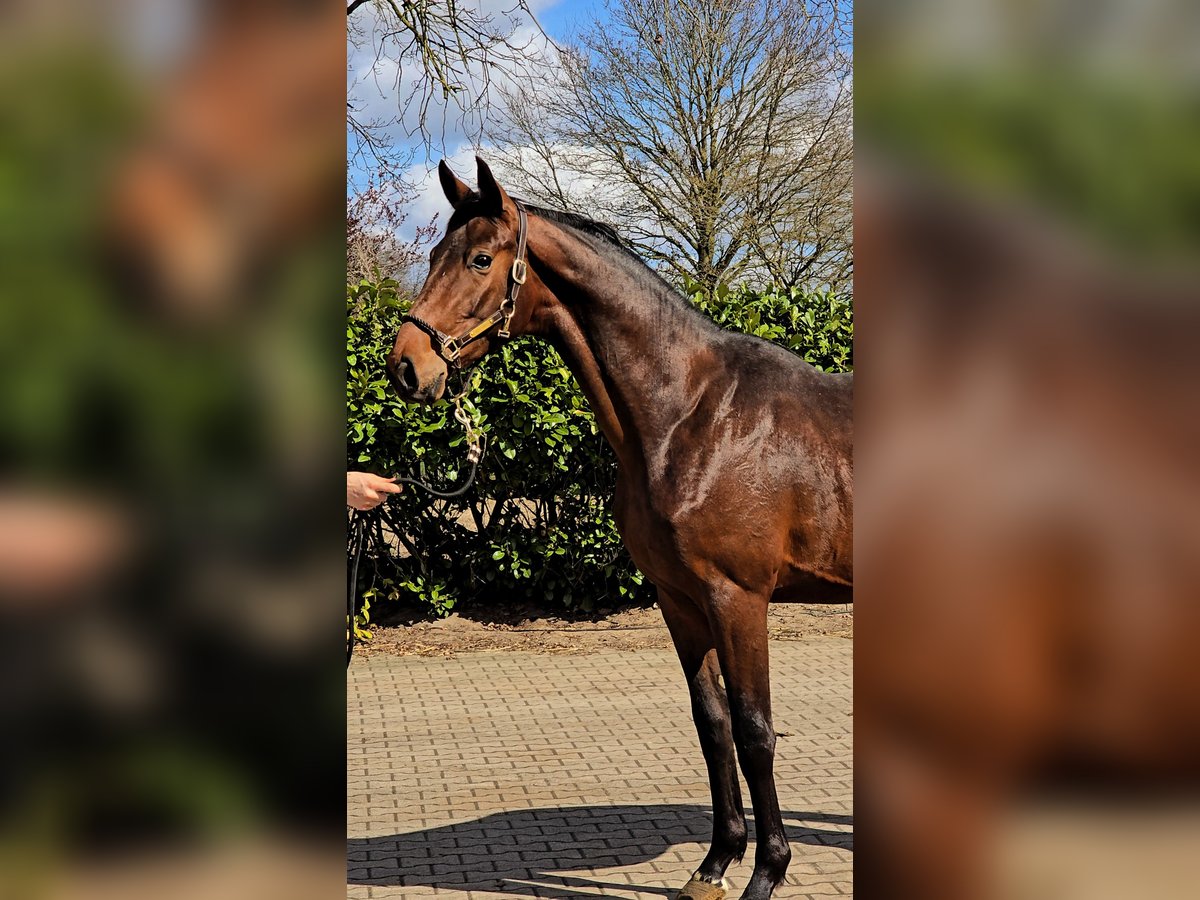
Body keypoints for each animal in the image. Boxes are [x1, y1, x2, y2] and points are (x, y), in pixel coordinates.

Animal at [386, 157, 853, 900]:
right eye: (432, 255)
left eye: (480, 258)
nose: (406, 366)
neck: (693, 413)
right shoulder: (681, 600)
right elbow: (713, 725)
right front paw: (715, 865)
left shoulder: (739, 598)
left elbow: (756, 732)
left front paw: (766, 873)